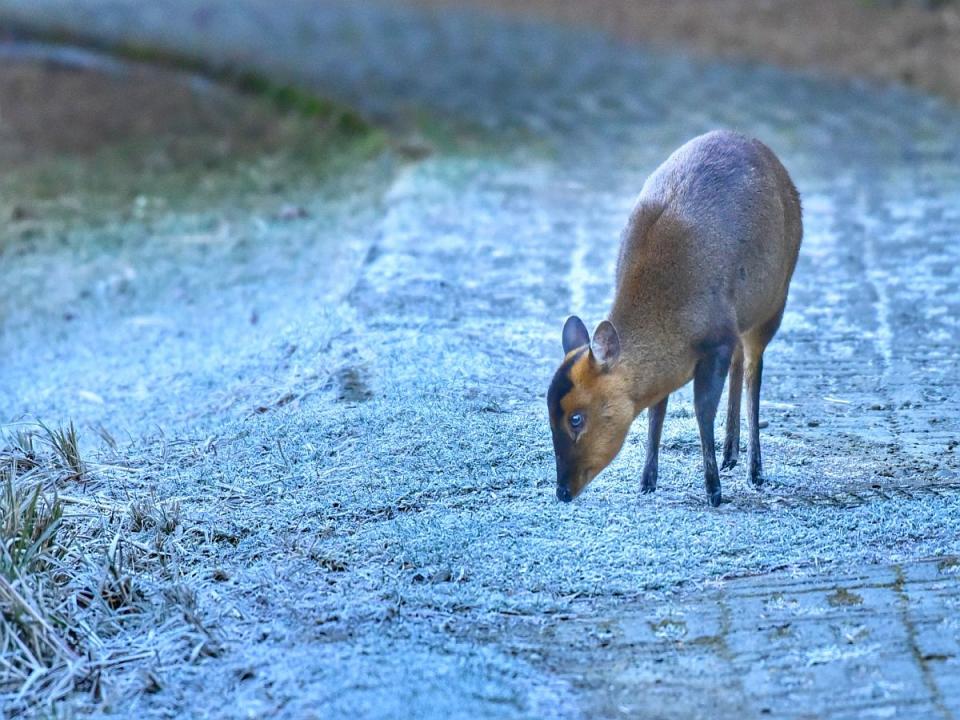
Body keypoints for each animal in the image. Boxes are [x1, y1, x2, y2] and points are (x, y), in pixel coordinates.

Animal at [548, 129, 804, 506]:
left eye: (576, 418)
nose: (562, 491)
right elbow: (657, 410)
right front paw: (647, 480)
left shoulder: (717, 338)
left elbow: (702, 408)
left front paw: (713, 490)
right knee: (741, 360)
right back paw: (731, 453)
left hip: (776, 298)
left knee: (753, 369)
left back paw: (754, 470)